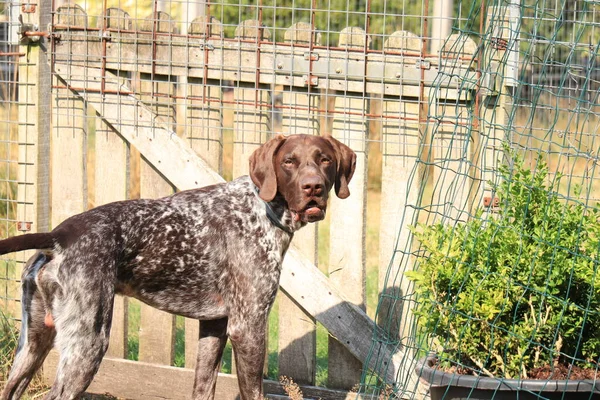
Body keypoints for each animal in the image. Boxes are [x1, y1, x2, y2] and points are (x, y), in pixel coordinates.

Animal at [0, 134, 356, 400]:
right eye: (288, 161)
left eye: (324, 159)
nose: (313, 188)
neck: (262, 209)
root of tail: (59, 236)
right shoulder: (248, 327)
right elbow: (254, 392)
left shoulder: (214, 325)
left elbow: (203, 387)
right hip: (87, 343)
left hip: (33, 345)